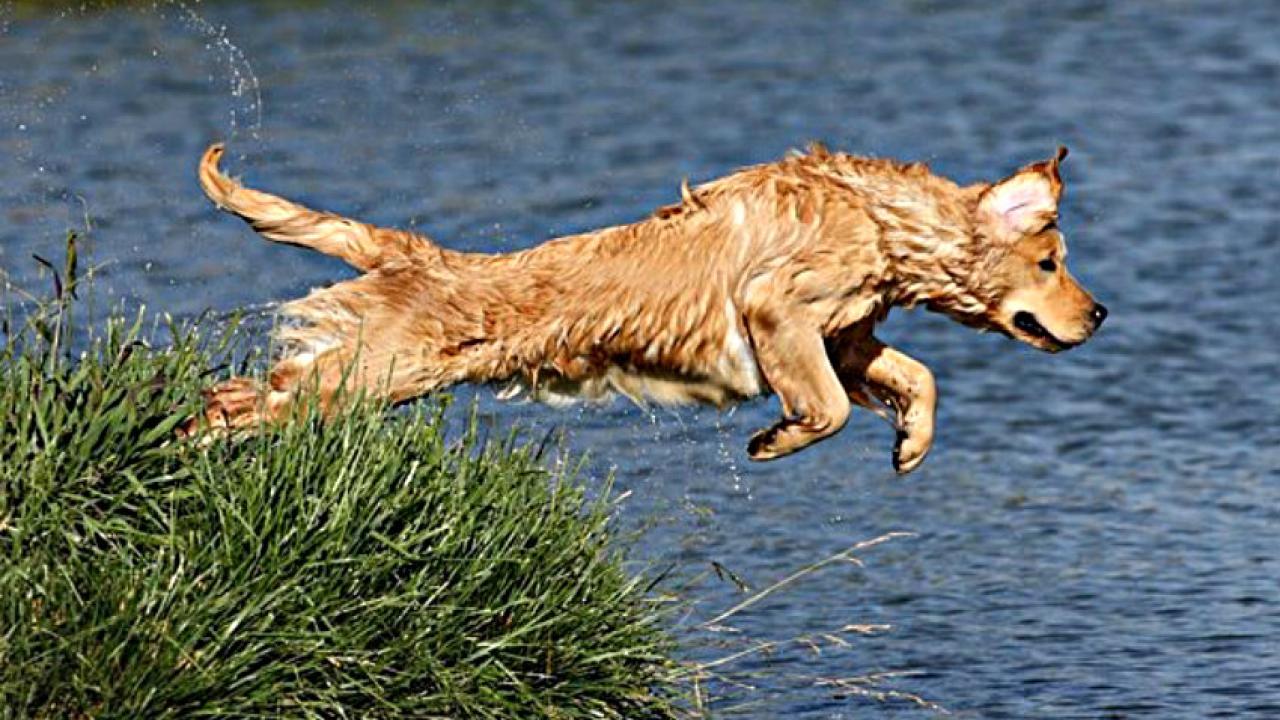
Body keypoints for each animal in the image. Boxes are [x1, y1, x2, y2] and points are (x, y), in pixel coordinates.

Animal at [185, 142, 1105, 474]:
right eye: (1051, 262)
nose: (1099, 316)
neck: (877, 217)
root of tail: (424, 256)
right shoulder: (777, 308)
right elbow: (832, 408)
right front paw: (778, 438)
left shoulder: (846, 338)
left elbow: (915, 378)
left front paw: (910, 443)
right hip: (372, 373)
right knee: (236, 401)